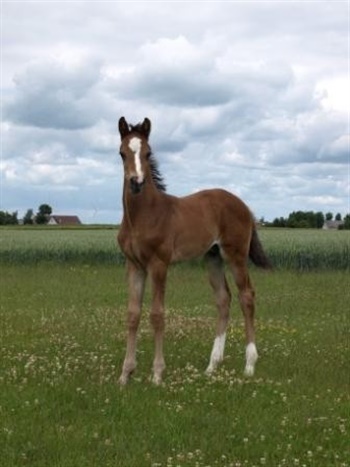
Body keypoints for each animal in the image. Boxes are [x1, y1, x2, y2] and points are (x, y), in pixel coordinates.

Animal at [117, 116, 270, 384]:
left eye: (148, 153)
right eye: (122, 153)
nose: (136, 182)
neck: (143, 216)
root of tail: (243, 205)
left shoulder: (159, 264)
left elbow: (157, 314)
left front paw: (157, 374)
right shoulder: (134, 266)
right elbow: (133, 314)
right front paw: (125, 375)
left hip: (236, 255)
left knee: (246, 296)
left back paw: (249, 364)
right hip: (213, 258)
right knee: (223, 299)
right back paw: (212, 365)